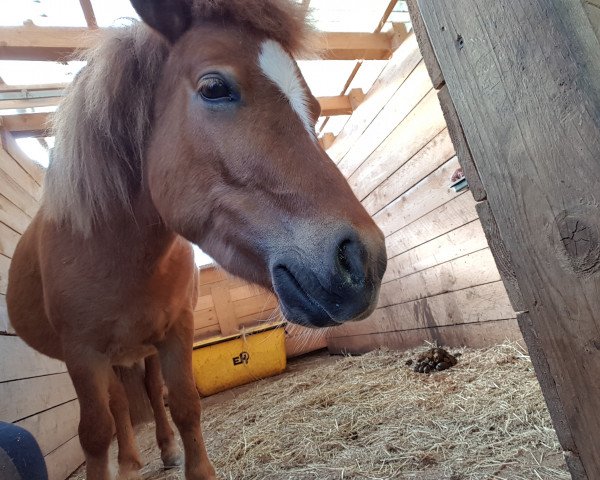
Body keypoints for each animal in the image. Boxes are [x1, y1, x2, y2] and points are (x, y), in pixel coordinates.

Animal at [7, 0, 386, 480]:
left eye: (315, 108)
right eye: (214, 87)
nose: (364, 261)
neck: (114, 254)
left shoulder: (176, 330)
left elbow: (185, 403)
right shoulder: (81, 353)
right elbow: (95, 433)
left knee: (150, 395)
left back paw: (162, 451)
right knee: (118, 408)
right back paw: (129, 463)